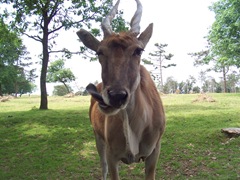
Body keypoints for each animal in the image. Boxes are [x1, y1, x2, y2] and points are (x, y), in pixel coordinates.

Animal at [76, 0, 165, 179]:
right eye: (99, 52)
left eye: (138, 50)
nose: (116, 96)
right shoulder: (112, 155)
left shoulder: (154, 152)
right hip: (98, 138)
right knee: (102, 168)